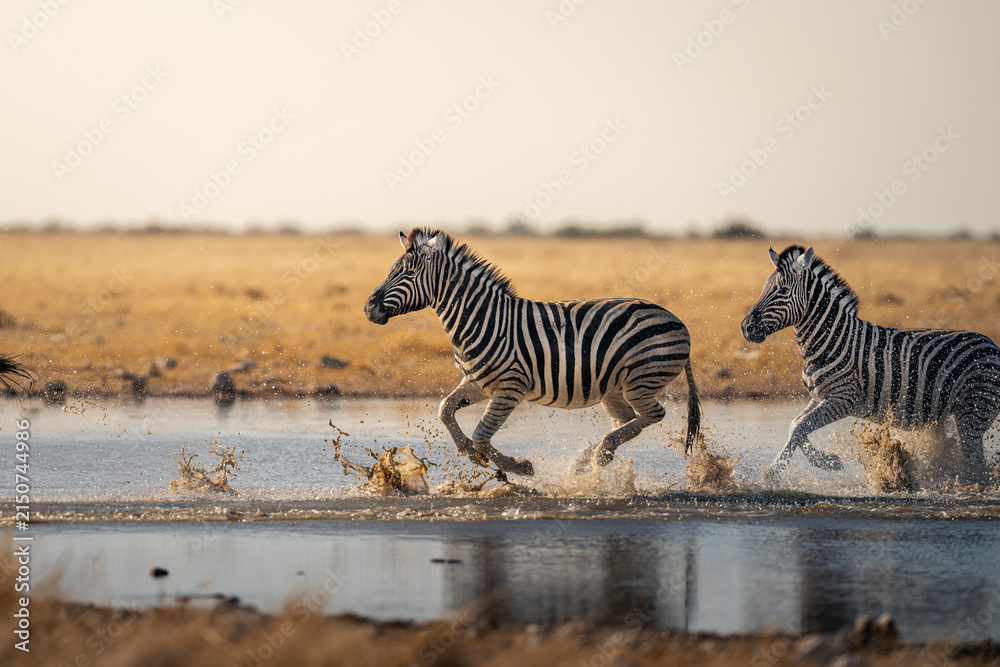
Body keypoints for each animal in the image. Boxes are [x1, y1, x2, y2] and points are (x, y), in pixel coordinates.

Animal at [364, 228, 701, 476]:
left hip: (640, 380)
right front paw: (470, 453)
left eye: (406, 274)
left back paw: (598, 455)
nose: (368, 309)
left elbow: (482, 435)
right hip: (614, 388)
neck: (483, 319)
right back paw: (589, 457)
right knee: (627, 420)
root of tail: (678, 320)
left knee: (652, 414)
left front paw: (518, 467)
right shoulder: (477, 383)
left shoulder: (509, 389)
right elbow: (445, 409)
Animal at [741, 245, 1000, 484]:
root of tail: (992, 345)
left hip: (973, 411)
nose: (746, 328)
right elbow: (795, 425)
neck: (832, 339)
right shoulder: (819, 396)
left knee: (975, 463)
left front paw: (773, 474)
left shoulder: (843, 399)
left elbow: (801, 426)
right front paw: (828, 461)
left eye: (783, 291)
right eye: (764, 289)